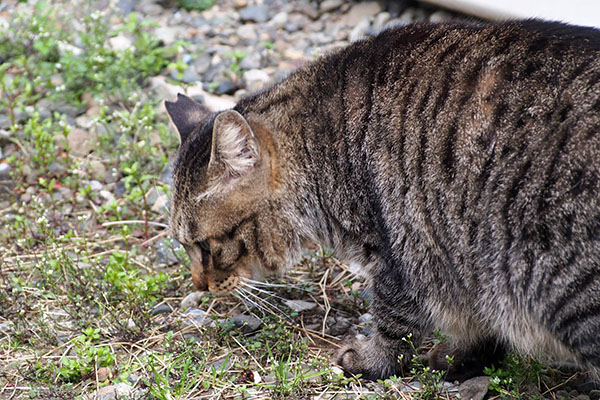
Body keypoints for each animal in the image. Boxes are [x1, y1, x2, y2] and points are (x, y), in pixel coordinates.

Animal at [166, 19, 600, 382]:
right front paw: (466, 358)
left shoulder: (398, 249)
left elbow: (395, 322)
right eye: (182, 244)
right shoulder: (466, 264)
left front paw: (372, 361)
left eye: (205, 245)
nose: (199, 285)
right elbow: (479, 321)